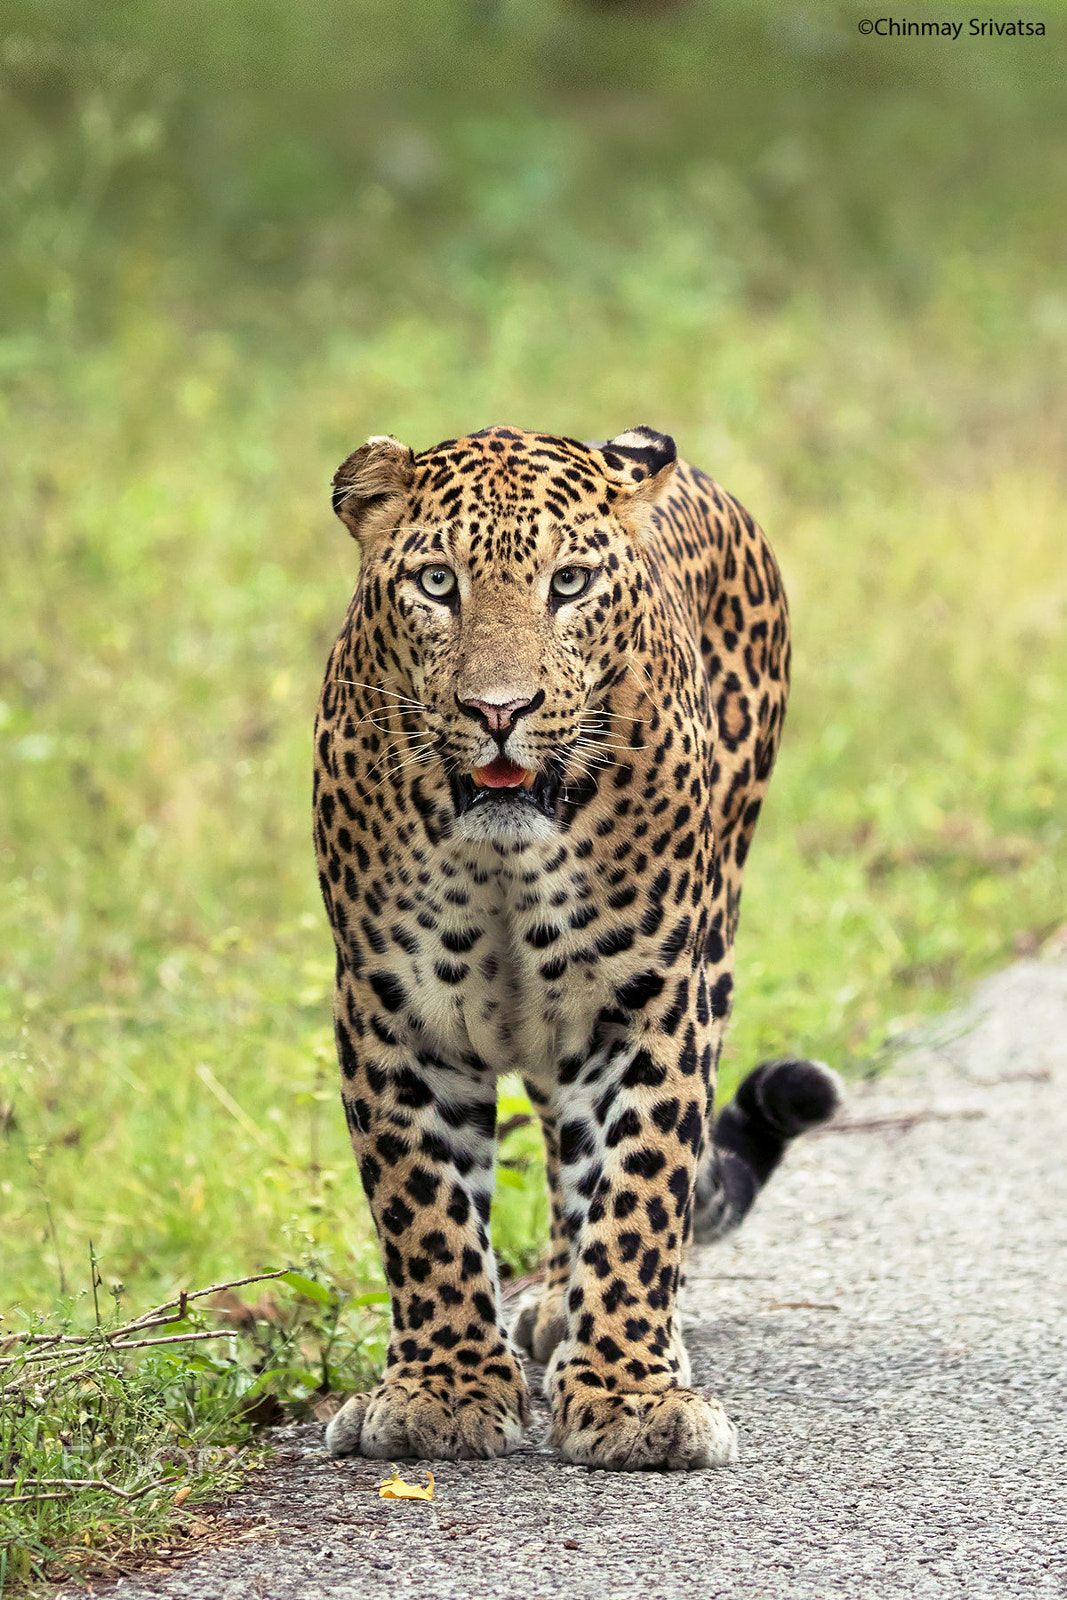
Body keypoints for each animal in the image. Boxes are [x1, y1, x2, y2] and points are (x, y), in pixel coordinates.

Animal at [313, 424, 841, 1472]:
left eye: (568, 583)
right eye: (437, 583)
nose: (497, 710)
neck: (505, 855)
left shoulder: (653, 1000)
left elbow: (639, 1190)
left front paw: (632, 1394)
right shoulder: (389, 1007)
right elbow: (422, 1206)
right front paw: (441, 1390)